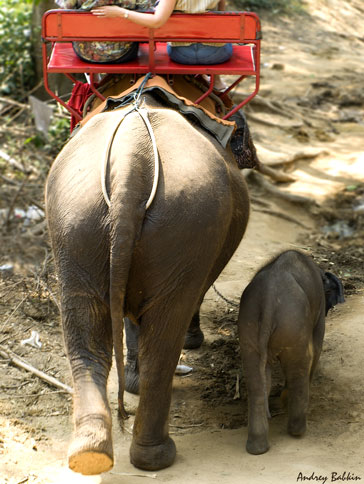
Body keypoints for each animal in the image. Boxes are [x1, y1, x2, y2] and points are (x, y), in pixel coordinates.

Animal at [45, 92, 250, 474]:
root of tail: (132, 164)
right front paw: (192, 341)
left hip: (76, 222)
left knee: (86, 332)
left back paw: (91, 454)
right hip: (185, 226)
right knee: (164, 340)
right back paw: (155, 456)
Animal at [239, 251, 344, 456]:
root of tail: (268, 300)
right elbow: (317, 345)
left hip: (249, 326)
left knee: (256, 380)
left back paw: (257, 448)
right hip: (293, 325)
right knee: (300, 366)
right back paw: (298, 430)